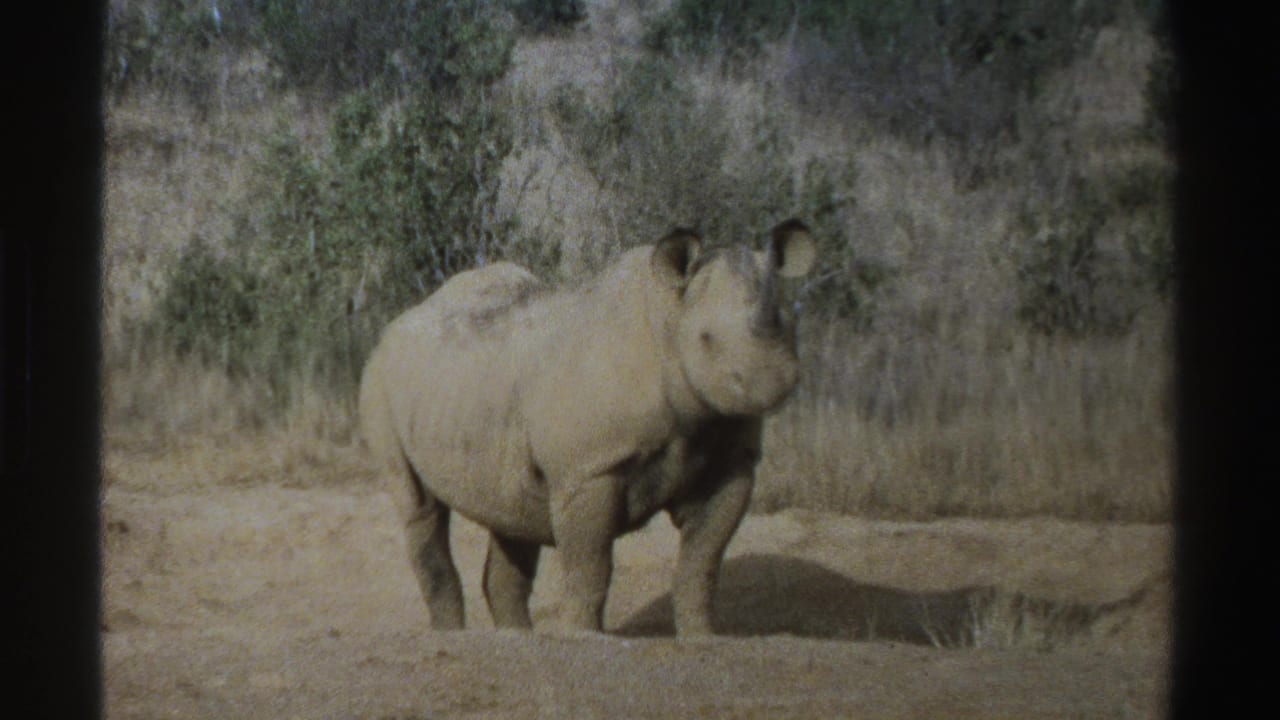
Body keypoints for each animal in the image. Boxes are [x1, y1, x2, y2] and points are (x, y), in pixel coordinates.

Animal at [358, 219, 817, 636]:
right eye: (705, 339)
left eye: (788, 326)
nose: (776, 380)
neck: (668, 320)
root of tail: (397, 323)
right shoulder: (590, 469)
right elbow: (590, 566)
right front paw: (583, 638)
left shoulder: (730, 459)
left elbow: (700, 564)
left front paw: (702, 638)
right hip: (380, 378)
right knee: (420, 507)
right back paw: (452, 635)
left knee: (510, 512)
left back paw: (517, 638)